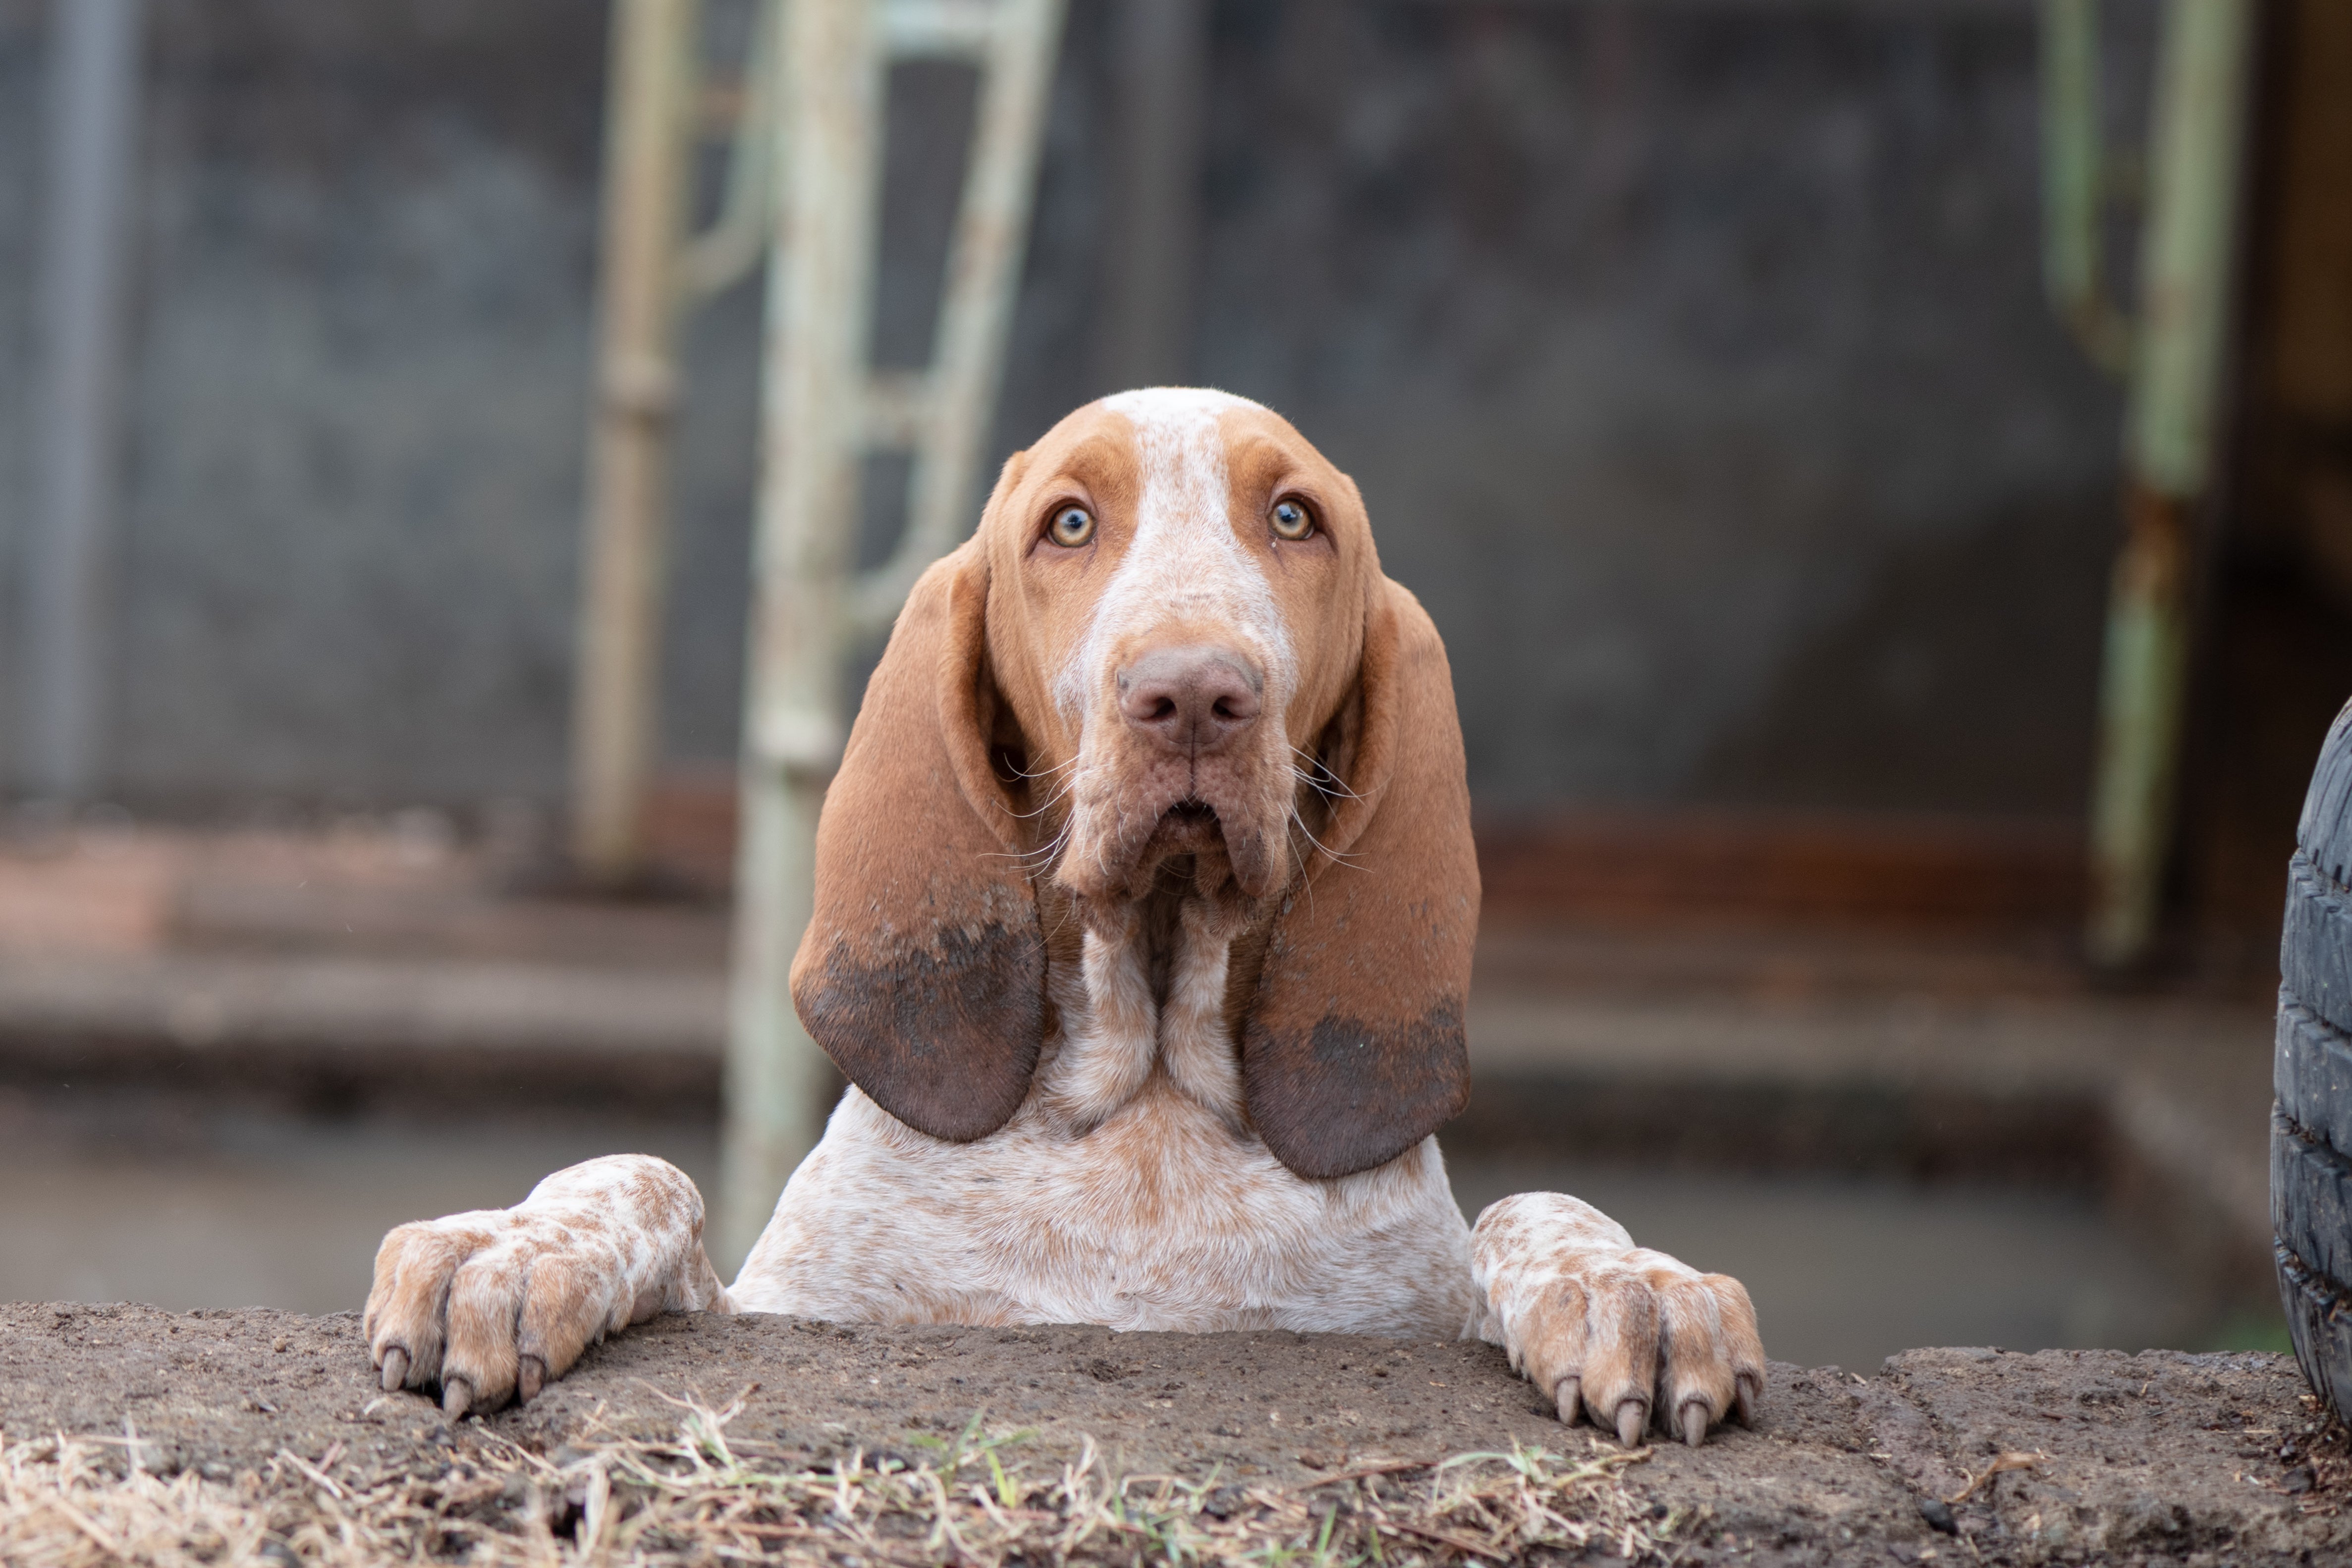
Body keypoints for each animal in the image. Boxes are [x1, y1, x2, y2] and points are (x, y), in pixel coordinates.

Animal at [362, 390, 1768, 1448]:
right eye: (1069, 524)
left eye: (1294, 519)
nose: (1193, 694)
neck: (1143, 1094)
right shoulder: (773, 1301)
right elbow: (645, 1174)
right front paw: (508, 1247)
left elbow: (1534, 1207)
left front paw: (1632, 1283)